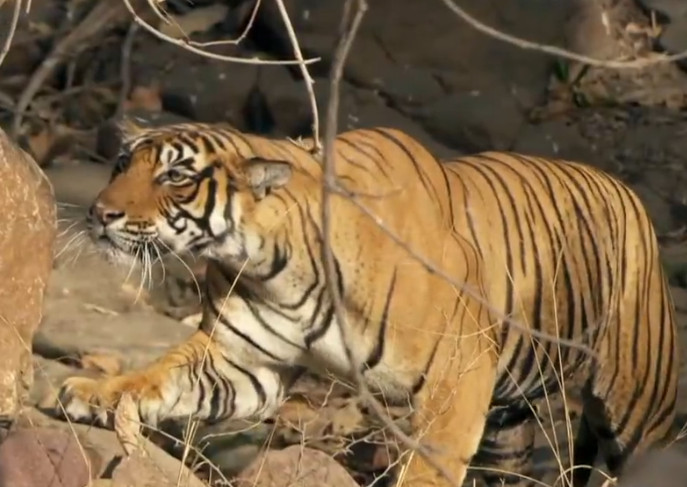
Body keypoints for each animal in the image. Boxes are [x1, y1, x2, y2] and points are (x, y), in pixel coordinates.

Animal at [56, 122, 680, 487]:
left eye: (176, 175)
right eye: (121, 165)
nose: (99, 212)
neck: (270, 262)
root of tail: (626, 191)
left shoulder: (456, 381)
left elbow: (428, 468)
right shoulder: (242, 362)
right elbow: (159, 375)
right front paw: (93, 393)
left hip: (637, 405)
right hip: (509, 422)